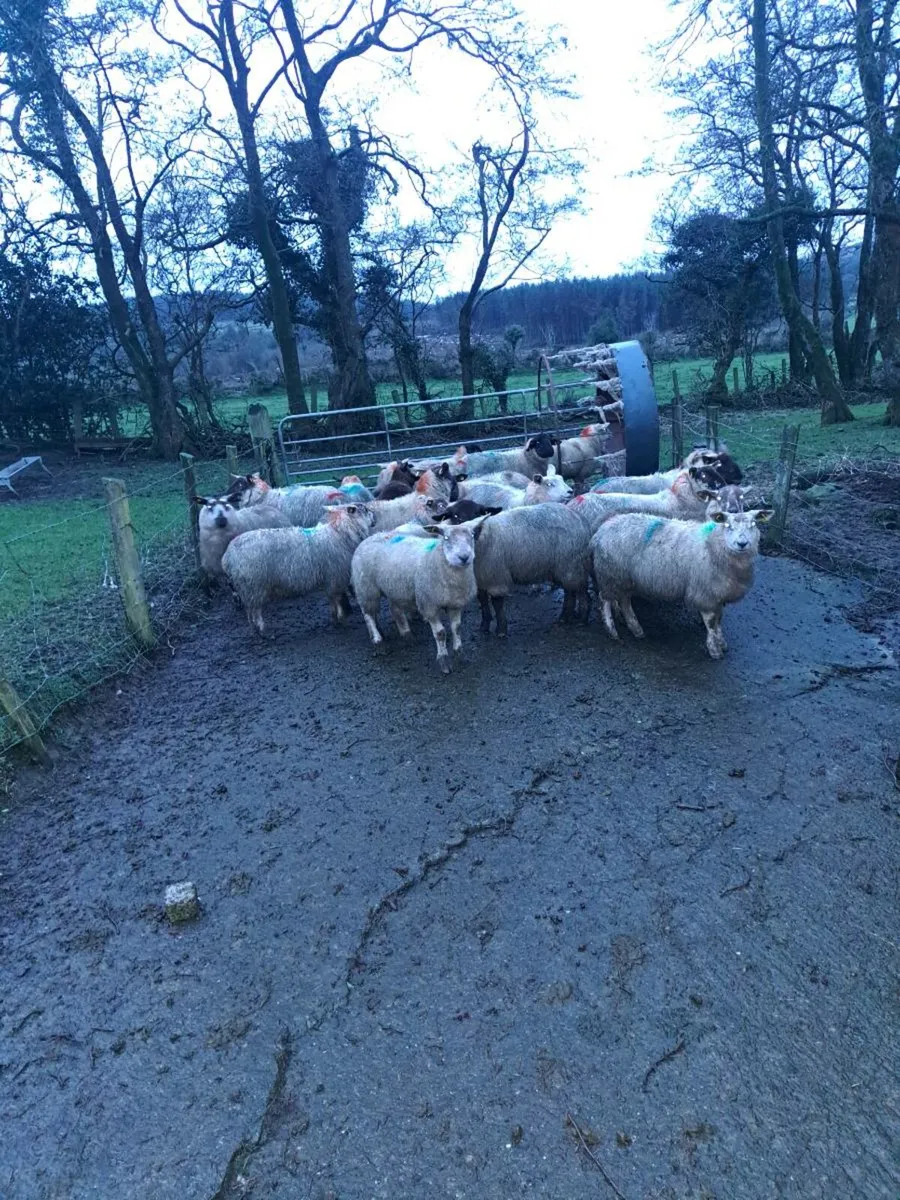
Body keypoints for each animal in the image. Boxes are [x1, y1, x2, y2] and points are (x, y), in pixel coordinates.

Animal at [221, 503, 376, 636]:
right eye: (365, 509)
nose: (374, 516)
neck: (340, 532)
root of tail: (227, 557)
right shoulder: (335, 577)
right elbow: (336, 599)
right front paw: (340, 618)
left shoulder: (330, 579)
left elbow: (332, 600)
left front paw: (335, 619)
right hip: (253, 585)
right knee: (255, 612)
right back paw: (263, 631)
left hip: (248, 589)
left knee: (250, 612)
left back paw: (256, 630)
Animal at [351, 523, 485, 673]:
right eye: (446, 537)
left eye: (472, 536)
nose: (464, 557)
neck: (437, 558)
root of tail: (371, 537)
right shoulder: (429, 604)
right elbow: (440, 633)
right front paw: (443, 660)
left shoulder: (455, 603)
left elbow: (457, 628)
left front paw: (459, 654)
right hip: (367, 588)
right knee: (368, 615)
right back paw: (378, 641)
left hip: (395, 587)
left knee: (394, 610)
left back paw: (406, 634)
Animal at [466, 505, 592, 636]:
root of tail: (581, 519)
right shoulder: (481, 579)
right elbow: (483, 601)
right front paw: (484, 626)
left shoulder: (496, 578)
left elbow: (497, 603)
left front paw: (501, 630)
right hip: (563, 568)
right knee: (570, 593)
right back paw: (564, 618)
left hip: (573, 565)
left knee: (581, 592)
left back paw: (582, 619)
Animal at [590, 497, 772, 658]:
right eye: (728, 526)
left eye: (753, 525)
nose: (742, 544)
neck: (713, 545)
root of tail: (601, 530)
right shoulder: (705, 594)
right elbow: (711, 623)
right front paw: (714, 650)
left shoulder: (718, 594)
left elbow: (719, 620)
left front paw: (721, 643)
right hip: (610, 575)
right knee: (604, 600)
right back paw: (612, 630)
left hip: (624, 578)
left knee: (625, 601)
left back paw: (636, 629)